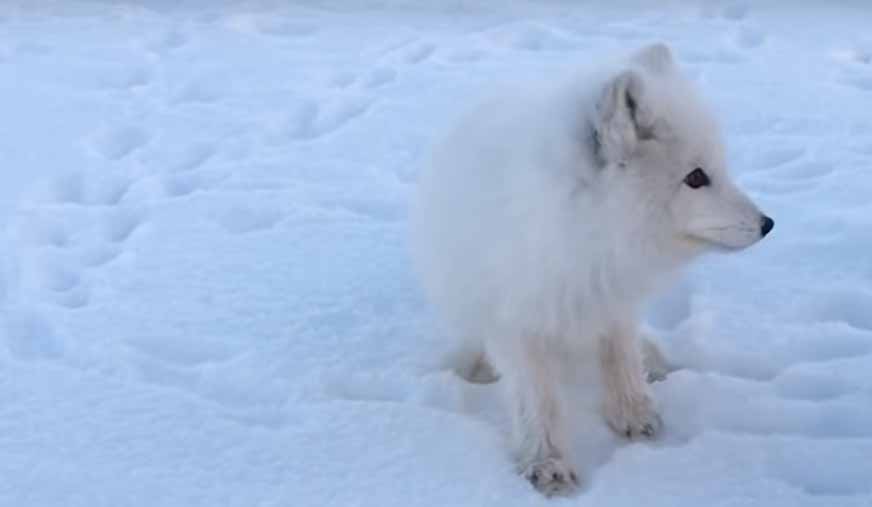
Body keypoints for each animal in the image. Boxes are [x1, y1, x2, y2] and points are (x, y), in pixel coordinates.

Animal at [412, 43, 772, 496]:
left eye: (719, 168)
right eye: (695, 177)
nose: (767, 224)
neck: (589, 235)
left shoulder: (615, 301)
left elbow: (621, 359)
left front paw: (634, 414)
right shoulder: (519, 322)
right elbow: (538, 400)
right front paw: (547, 463)